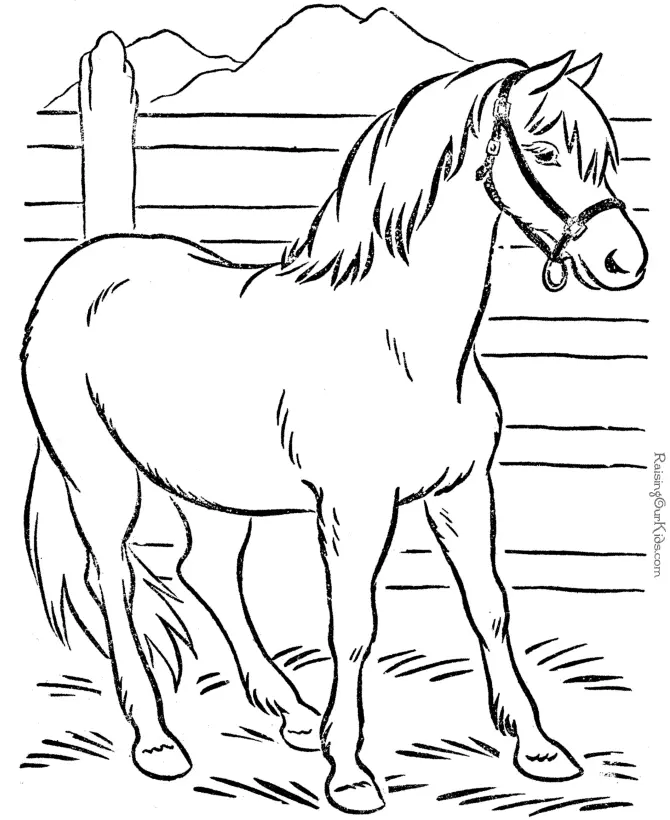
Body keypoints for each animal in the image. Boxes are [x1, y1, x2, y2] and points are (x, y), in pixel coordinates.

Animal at [22, 52, 647, 813]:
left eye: (607, 155)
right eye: (548, 150)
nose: (625, 261)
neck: (404, 345)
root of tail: (81, 265)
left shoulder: (464, 492)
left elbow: (491, 606)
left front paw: (538, 748)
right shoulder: (355, 508)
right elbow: (353, 629)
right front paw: (348, 772)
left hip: (215, 487)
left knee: (202, 571)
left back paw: (286, 710)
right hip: (101, 478)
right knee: (114, 579)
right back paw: (159, 742)